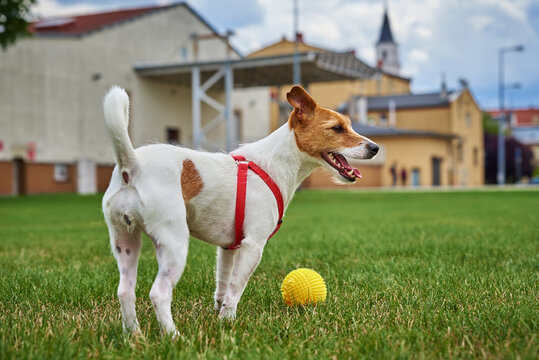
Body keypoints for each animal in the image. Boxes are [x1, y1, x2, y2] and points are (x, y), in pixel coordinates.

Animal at [102, 85, 380, 338]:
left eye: (349, 125)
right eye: (337, 128)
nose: (375, 148)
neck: (275, 163)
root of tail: (132, 166)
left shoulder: (228, 247)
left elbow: (223, 285)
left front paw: (219, 316)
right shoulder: (252, 246)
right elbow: (236, 288)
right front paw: (228, 322)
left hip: (125, 243)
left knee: (125, 291)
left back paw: (134, 335)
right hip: (174, 245)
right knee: (159, 293)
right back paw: (174, 337)